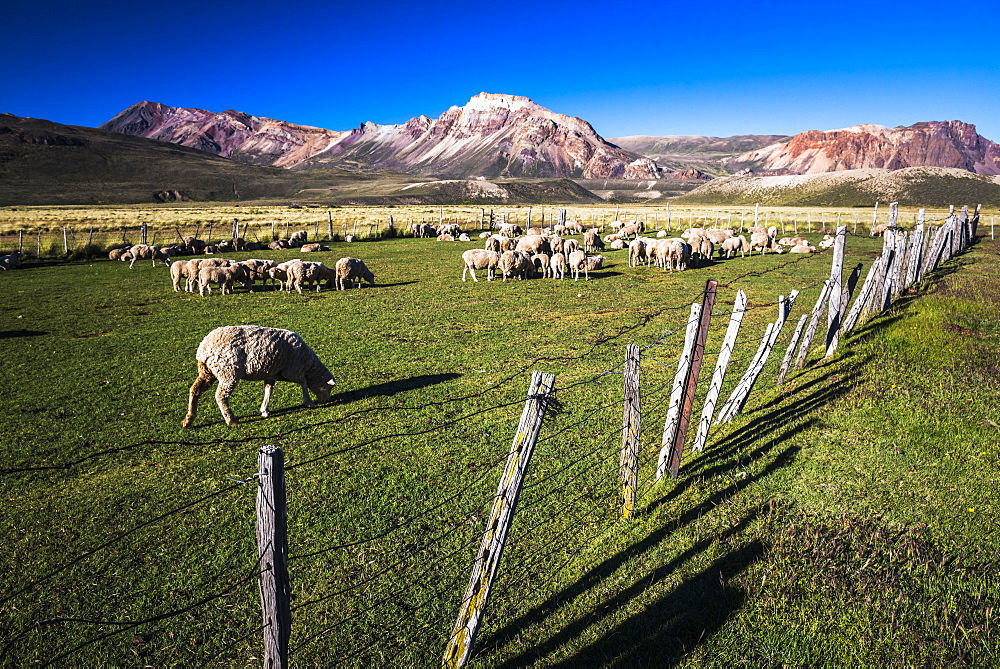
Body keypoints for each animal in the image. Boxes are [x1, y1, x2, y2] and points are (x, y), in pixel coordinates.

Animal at [180, 324, 336, 428]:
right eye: (327, 388)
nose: (326, 401)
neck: (308, 365)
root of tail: (204, 349)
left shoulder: (271, 373)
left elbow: (268, 390)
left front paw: (264, 410)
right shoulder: (293, 370)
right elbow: (303, 383)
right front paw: (308, 402)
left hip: (207, 372)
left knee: (195, 390)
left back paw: (188, 419)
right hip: (228, 372)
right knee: (221, 396)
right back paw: (231, 420)